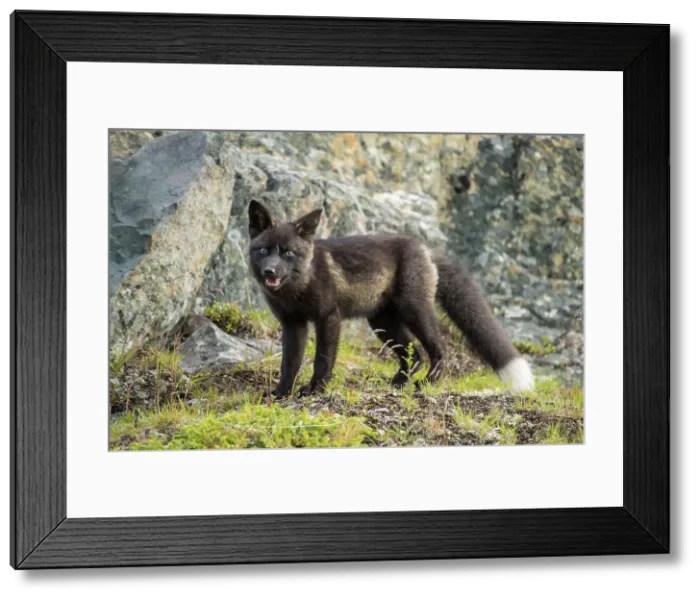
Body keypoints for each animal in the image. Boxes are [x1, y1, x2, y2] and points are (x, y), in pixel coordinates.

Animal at [247, 199, 535, 398]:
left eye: (288, 253)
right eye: (264, 251)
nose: (270, 272)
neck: (297, 288)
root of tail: (425, 249)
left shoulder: (328, 318)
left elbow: (323, 359)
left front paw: (316, 389)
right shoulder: (292, 324)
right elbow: (289, 363)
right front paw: (281, 393)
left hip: (414, 311)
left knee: (438, 349)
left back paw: (428, 382)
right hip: (382, 323)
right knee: (415, 354)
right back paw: (398, 383)